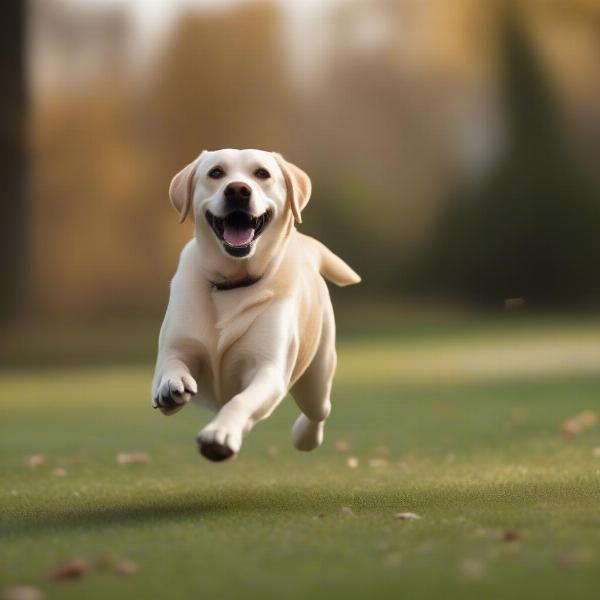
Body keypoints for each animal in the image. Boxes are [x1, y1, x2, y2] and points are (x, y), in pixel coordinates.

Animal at [152, 149, 358, 460]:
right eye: (216, 173)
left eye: (262, 173)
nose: (238, 190)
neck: (233, 284)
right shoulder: (175, 348)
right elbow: (171, 365)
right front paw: (171, 387)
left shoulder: (268, 370)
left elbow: (240, 401)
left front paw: (220, 435)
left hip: (317, 376)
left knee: (320, 410)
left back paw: (305, 437)